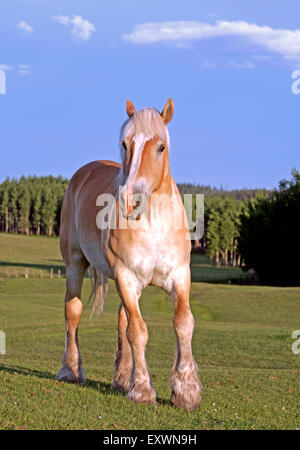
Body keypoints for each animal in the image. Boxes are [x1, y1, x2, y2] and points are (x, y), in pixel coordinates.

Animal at [55, 98, 203, 412]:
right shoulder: (126, 276)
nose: (130, 200)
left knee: (121, 320)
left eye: (161, 147)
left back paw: (122, 378)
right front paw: (143, 390)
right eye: (125, 144)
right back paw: (71, 370)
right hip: (75, 264)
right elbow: (138, 331)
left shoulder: (179, 276)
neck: (153, 221)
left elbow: (183, 323)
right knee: (73, 312)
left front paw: (186, 391)